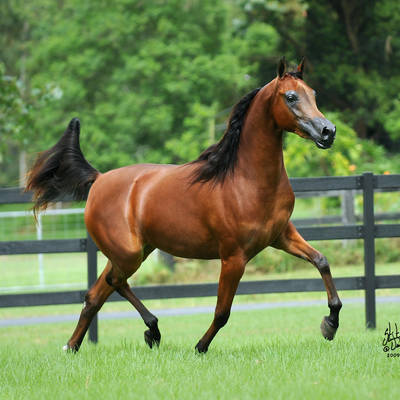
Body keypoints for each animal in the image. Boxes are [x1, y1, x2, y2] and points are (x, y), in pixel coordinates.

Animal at [26, 57, 342, 353]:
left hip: (134, 251)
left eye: (313, 94)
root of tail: (100, 179)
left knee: (95, 295)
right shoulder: (233, 258)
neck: (246, 180)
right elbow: (222, 312)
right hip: (128, 254)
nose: (328, 131)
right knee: (115, 282)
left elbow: (322, 261)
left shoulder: (281, 236)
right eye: (291, 96)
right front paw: (200, 346)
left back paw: (73, 346)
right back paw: (152, 330)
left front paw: (330, 324)